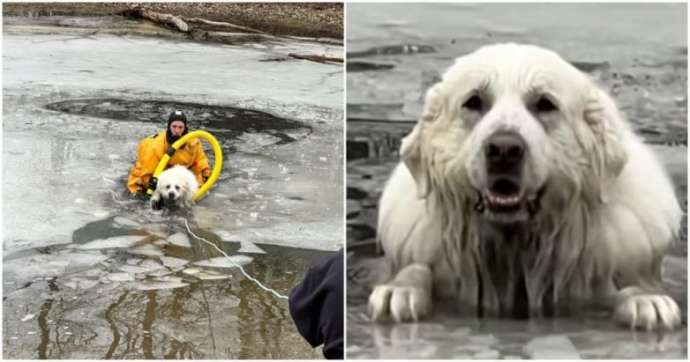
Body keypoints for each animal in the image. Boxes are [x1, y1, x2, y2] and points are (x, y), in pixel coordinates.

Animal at [368, 43, 680, 330]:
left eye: (544, 104)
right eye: (474, 102)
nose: (504, 149)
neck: (515, 245)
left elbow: (622, 286)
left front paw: (646, 301)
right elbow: (416, 268)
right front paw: (398, 291)